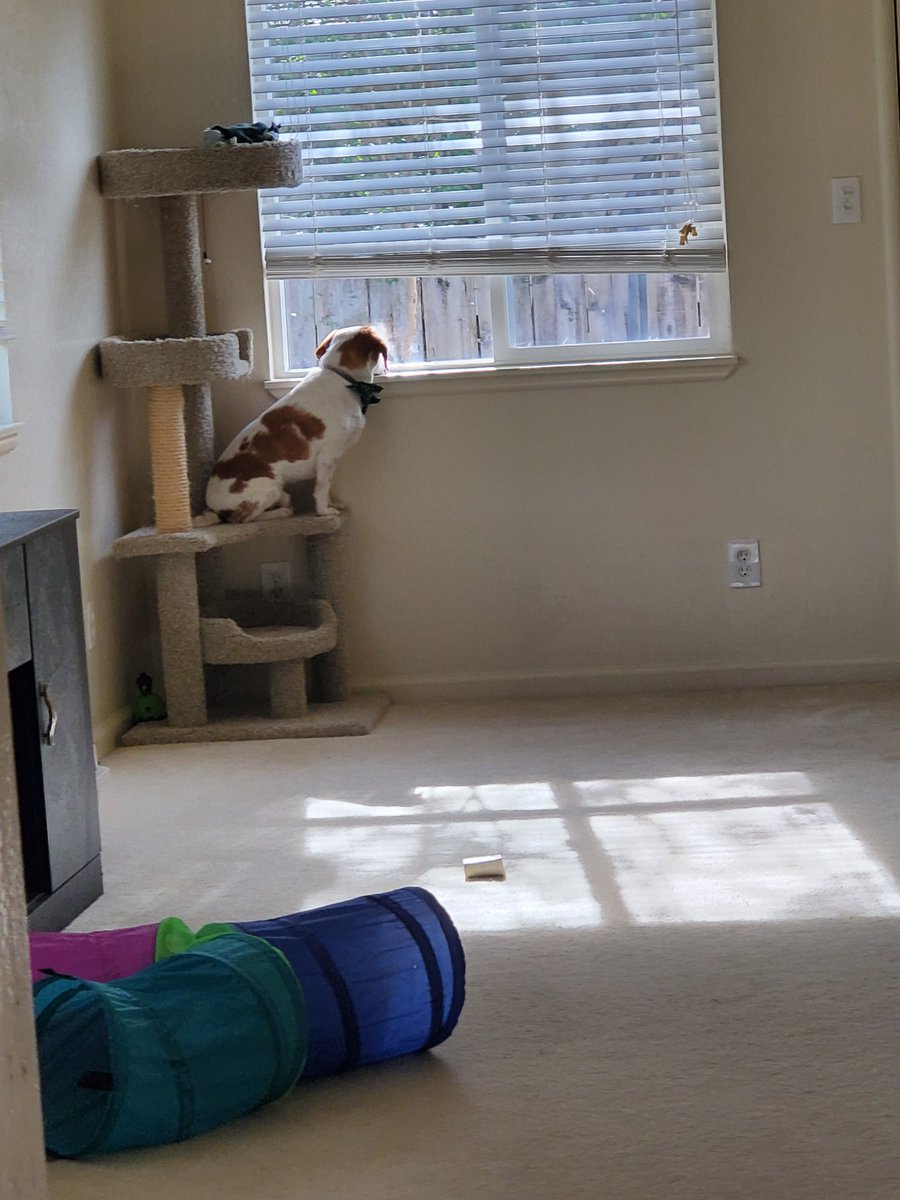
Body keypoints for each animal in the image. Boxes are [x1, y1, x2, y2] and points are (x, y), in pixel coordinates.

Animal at [204, 325, 388, 523]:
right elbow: (322, 489)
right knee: (245, 519)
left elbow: (326, 487)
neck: (344, 379)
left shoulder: (327, 463)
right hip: (270, 487)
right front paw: (324, 512)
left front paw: (331, 504)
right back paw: (282, 512)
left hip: (278, 490)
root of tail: (212, 508)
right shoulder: (328, 456)